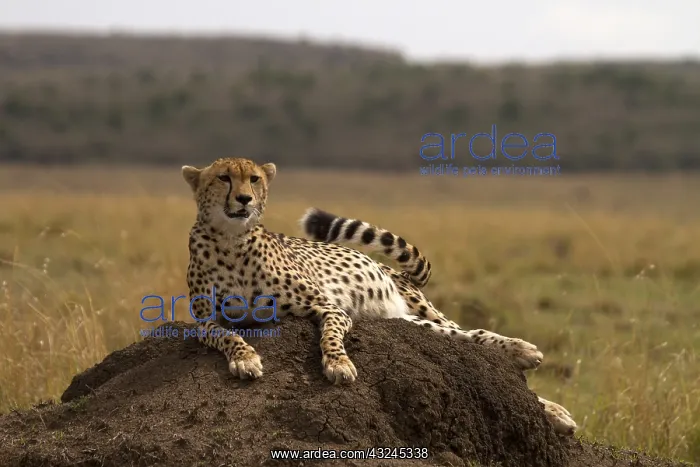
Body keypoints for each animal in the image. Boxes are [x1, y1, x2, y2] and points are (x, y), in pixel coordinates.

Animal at [181, 157, 578, 436]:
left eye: (254, 179)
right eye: (223, 177)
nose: (244, 199)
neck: (231, 241)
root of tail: (396, 273)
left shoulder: (330, 307)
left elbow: (330, 336)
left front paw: (339, 365)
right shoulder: (204, 321)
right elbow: (227, 335)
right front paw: (246, 359)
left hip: (424, 314)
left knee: (473, 335)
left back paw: (532, 366)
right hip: (406, 321)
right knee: (463, 339)